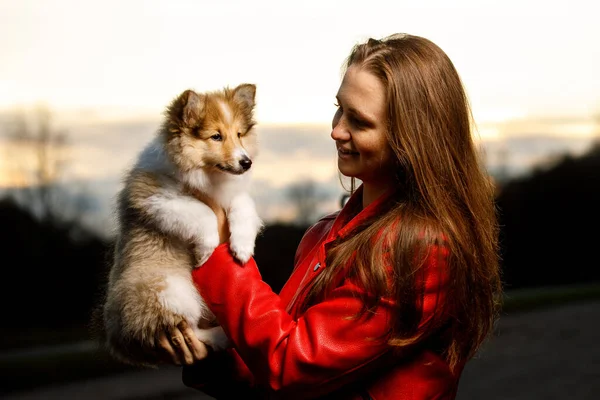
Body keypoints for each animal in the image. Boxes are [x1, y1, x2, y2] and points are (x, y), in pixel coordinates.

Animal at [101, 83, 262, 366]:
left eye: (239, 134)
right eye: (216, 137)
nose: (246, 162)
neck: (208, 176)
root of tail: (119, 338)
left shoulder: (232, 194)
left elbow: (243, 207)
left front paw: (242, 249)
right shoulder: (157, 198)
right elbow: (204, 213)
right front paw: (205, 253)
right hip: (170, 290)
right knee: (191, 330)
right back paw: (221, 336)